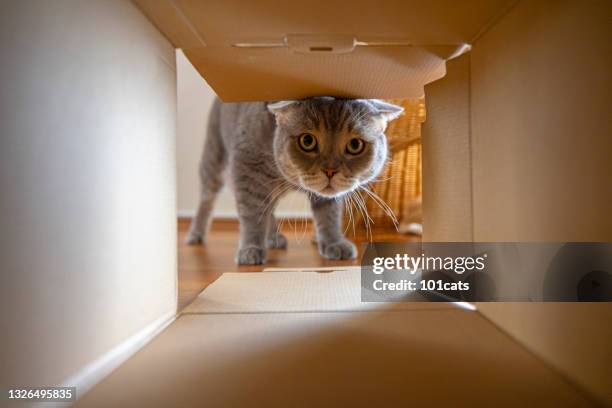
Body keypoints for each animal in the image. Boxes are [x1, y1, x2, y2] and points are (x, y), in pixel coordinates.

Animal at [188, 96, 406, 264]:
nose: (330, 170)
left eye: (355, 145)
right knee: (207, 199)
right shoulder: (248, 171)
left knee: (270, 210)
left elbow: (329, 215)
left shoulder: (328, 197)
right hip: (214, 160)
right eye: (307, 141)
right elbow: (252, 214)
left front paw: (333, 243)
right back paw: (196, 234)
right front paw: (250, 249)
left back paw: (273, 237)